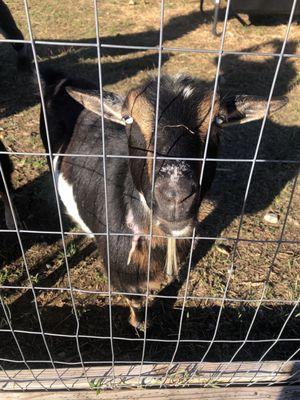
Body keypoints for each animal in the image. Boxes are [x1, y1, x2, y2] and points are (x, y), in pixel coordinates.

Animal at [38, 70, 288, 330]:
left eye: (218, 121)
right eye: (128, 118)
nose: (176, 196)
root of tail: (60, 78)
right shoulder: (122, 276)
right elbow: (136, 302)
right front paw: (141, 326)